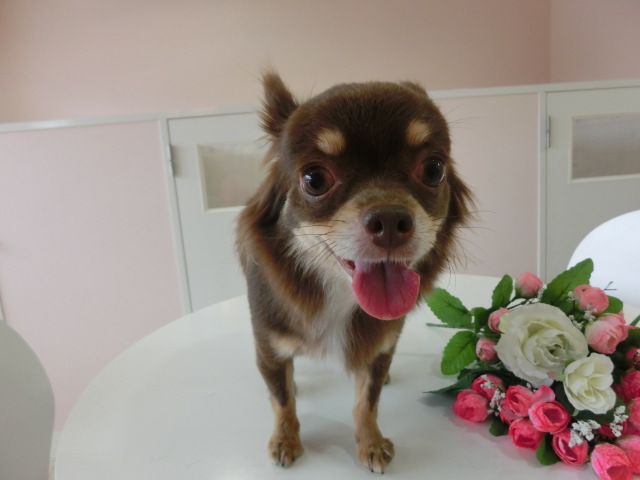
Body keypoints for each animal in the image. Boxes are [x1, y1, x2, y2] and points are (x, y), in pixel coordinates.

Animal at [236, 72, 472, 473]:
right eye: (314, 178)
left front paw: (370, 443)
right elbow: (281, 398)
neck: (337, 294)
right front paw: (285, 439)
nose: (390, 220)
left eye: (433, 169)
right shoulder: (269, 343)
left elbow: (368, 400)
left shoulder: (381, 344)